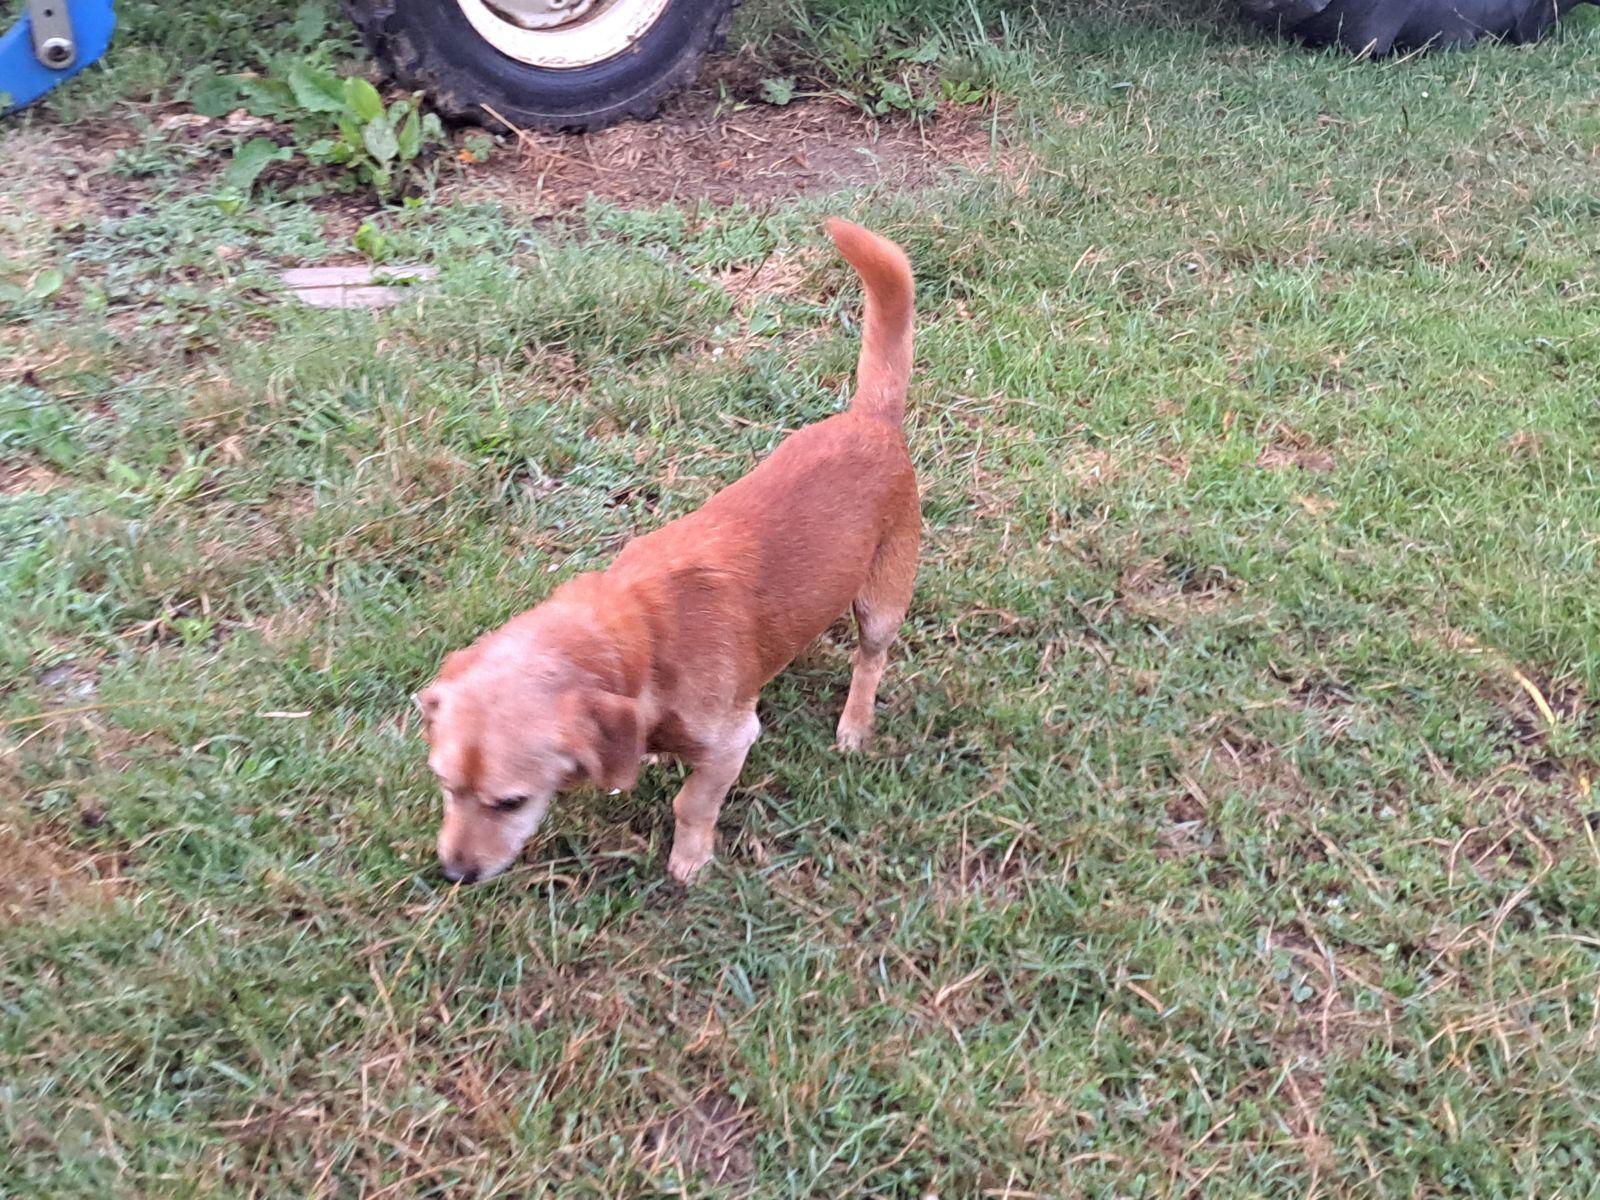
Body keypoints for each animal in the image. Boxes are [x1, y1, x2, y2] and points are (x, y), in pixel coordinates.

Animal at [416, 220, 915, 889]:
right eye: (445, 785)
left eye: (511, 802)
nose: (454, 873)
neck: (642, 640)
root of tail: (872, 421)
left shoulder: (732, 740)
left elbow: (693, 801)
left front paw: (690, 858)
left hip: (883, 604)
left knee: (870, 662)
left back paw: (855, 725)